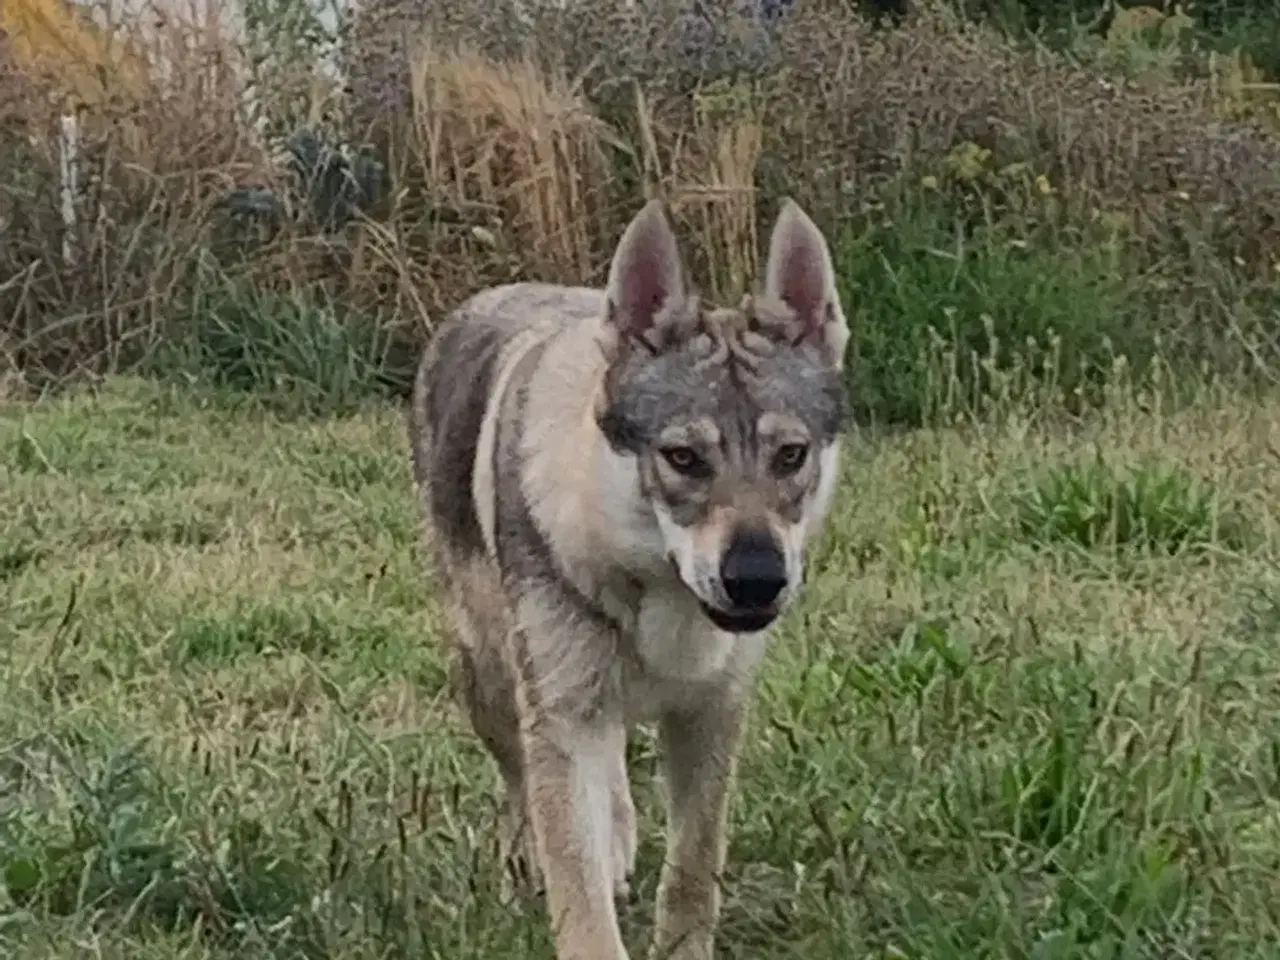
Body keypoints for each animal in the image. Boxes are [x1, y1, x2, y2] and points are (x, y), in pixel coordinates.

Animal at [409, 197, 849, 960]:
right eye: (683, 458)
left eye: (791, 456)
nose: (757, 579)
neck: (659, 601)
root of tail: (490, 294)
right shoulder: (561, 717)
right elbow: (579, 898)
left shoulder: (712, 712)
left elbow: (694, 868)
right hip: (492, 683)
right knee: (522, 788)